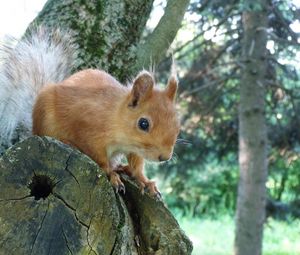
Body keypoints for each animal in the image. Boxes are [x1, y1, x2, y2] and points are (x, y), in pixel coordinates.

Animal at [32, 68, 180, 197]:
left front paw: (145, 181)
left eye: (177, 123)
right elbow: (100, 160)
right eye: (143, 123)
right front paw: (112, 175)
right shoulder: (88, 135)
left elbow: (136, 167)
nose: (165, 157)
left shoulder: (135, 149)